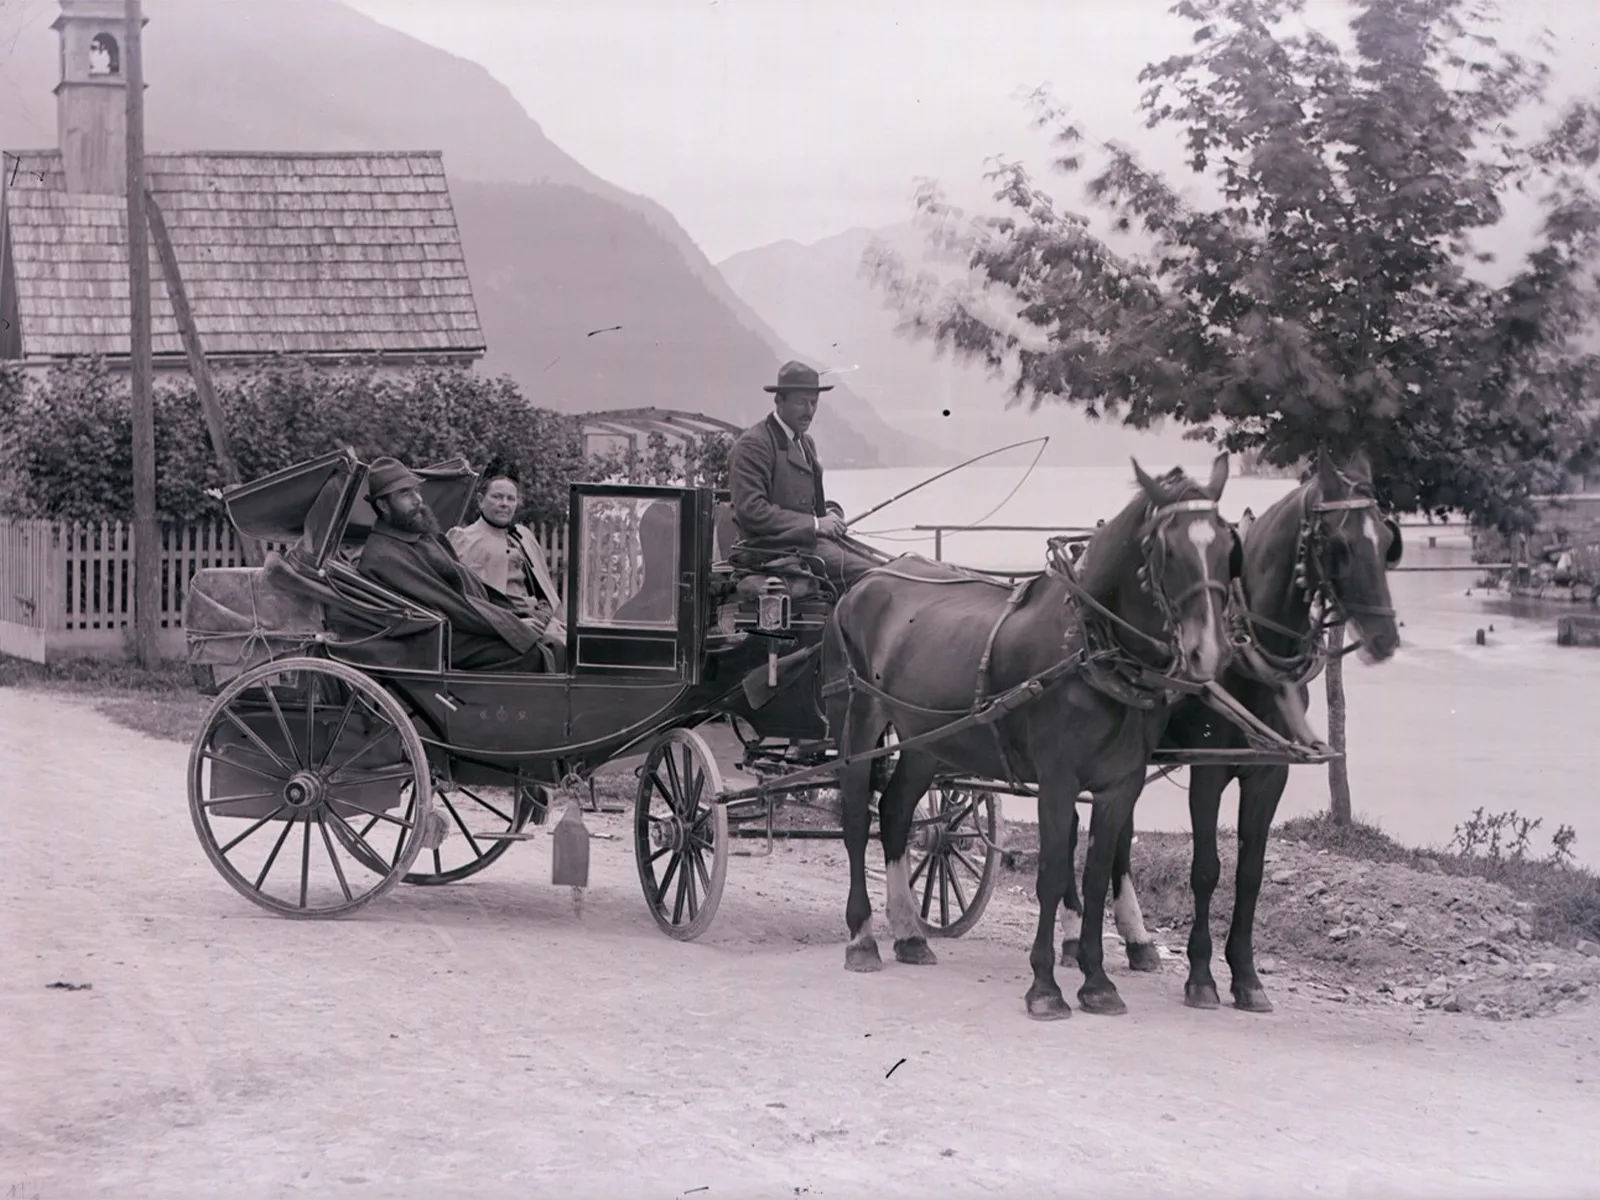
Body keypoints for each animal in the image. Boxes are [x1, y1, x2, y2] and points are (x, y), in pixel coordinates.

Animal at [819, 454, 1241, 1017]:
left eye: (1226, 547)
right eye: (1167, 549)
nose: (1209, 652)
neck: (1089, 646)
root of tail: (865, 582)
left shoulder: (1120, 783)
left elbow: (1095, 871)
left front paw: (1097, 982)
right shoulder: (1057, 780)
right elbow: (1053, 873)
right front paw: (1045, 985)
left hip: (926, 740)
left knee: (894, 812)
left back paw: (909, 933)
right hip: (859, 717)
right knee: (854, 816)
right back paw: (862, 937)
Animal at [1075, 451, 1401, 1017]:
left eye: (1386, 541)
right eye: (1338, 544)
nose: (1385, 638)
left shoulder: (1269, 773)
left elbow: (1250, 873)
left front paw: (1247, 978)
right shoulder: (1208, 770)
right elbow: (1207, 869)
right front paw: (1202, 977)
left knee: (1117, 831)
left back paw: (1137, 941)